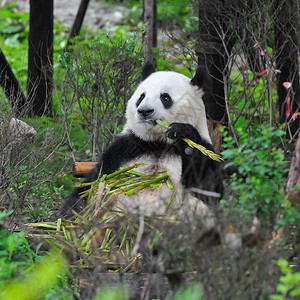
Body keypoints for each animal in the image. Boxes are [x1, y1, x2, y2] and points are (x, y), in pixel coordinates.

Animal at [59, 62, 223, 219]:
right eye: (141, 96)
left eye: (165, 97)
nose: (144, 111)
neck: (158, 143)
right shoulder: (126, 148)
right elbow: (94, 181)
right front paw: (71, 211)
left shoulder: (205, 148)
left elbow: (210, 188)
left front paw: (182, 133)